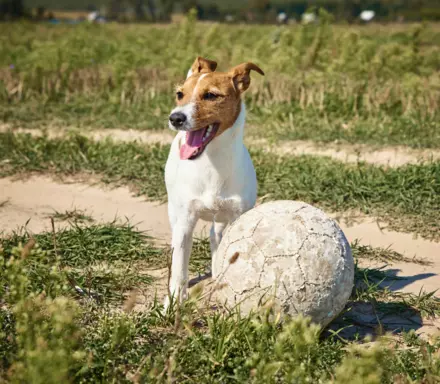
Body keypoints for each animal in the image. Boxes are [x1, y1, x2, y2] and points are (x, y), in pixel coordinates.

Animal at [163, 57, 262, 308]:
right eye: (180, 94)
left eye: (210, 95)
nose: (175, 118)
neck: (211, 163)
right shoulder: (185, 221)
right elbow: (180, 267)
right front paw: (174, 301)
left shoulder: (237, 216)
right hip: (174, 211)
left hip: (223, 217)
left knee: (215, 235)